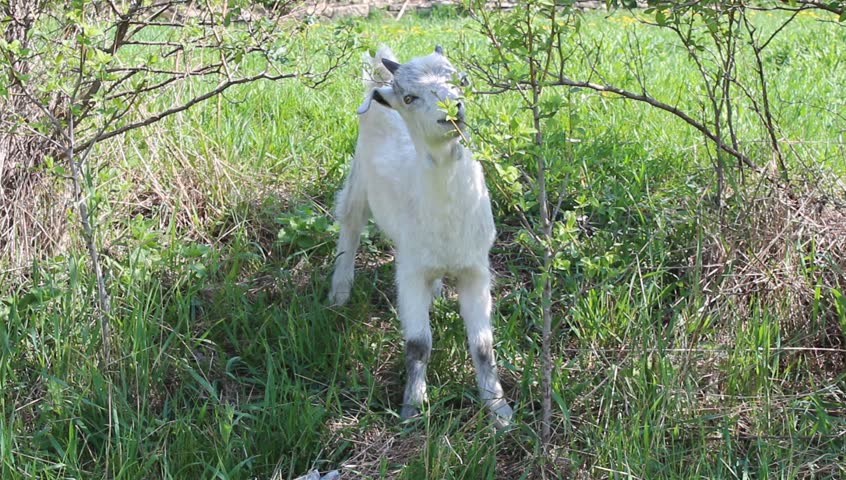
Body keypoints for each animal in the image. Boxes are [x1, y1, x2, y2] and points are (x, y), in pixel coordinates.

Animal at [329, 45, 513, 428]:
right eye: (409, 98)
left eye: (462, 80)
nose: (452, 109)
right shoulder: (409, 271)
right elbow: (417, 344)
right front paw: (412, 408)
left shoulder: (476, 268)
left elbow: (483, 345)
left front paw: (499, 410)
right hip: (358, 176)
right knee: (349, 223)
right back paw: (339, 293)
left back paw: (438, 292)